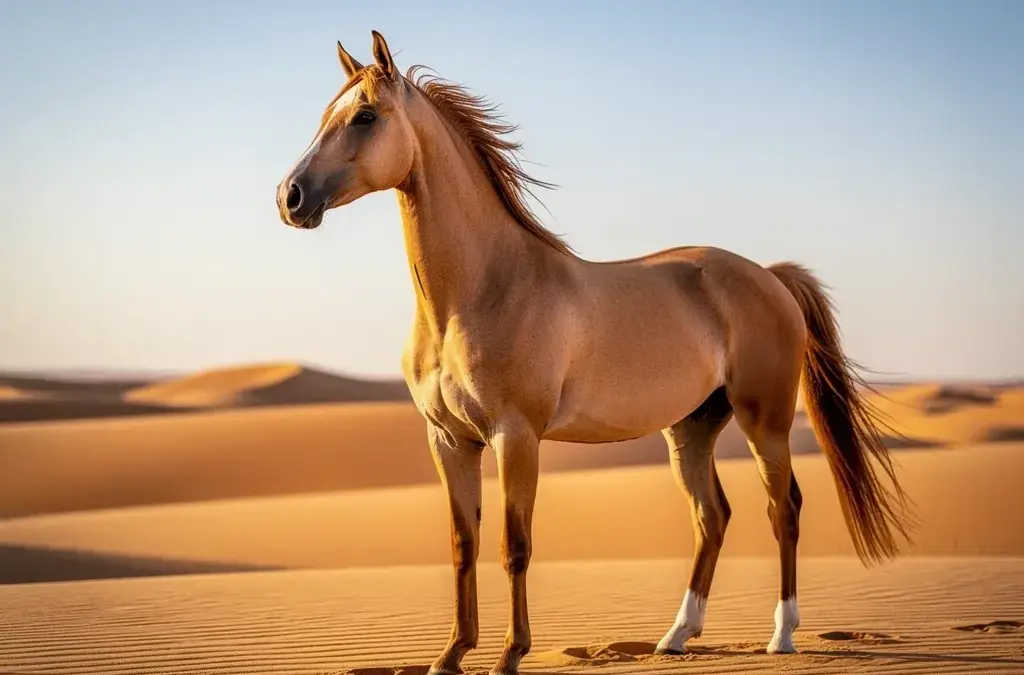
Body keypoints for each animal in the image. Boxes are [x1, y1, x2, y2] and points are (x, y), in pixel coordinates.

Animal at [275, 30, 914, 675]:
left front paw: (510, 654)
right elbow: (462, 545)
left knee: (783, 509)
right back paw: (676, 636)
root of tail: (770, 275)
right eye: (325, 116)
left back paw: (781, 635)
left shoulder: (515, 436)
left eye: (365, 116)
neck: (478, 291)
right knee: (712, 517)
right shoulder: (449, 440)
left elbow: (514, 545)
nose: (290, 197)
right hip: (691, 429)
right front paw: (451, 654)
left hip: (766, 422)